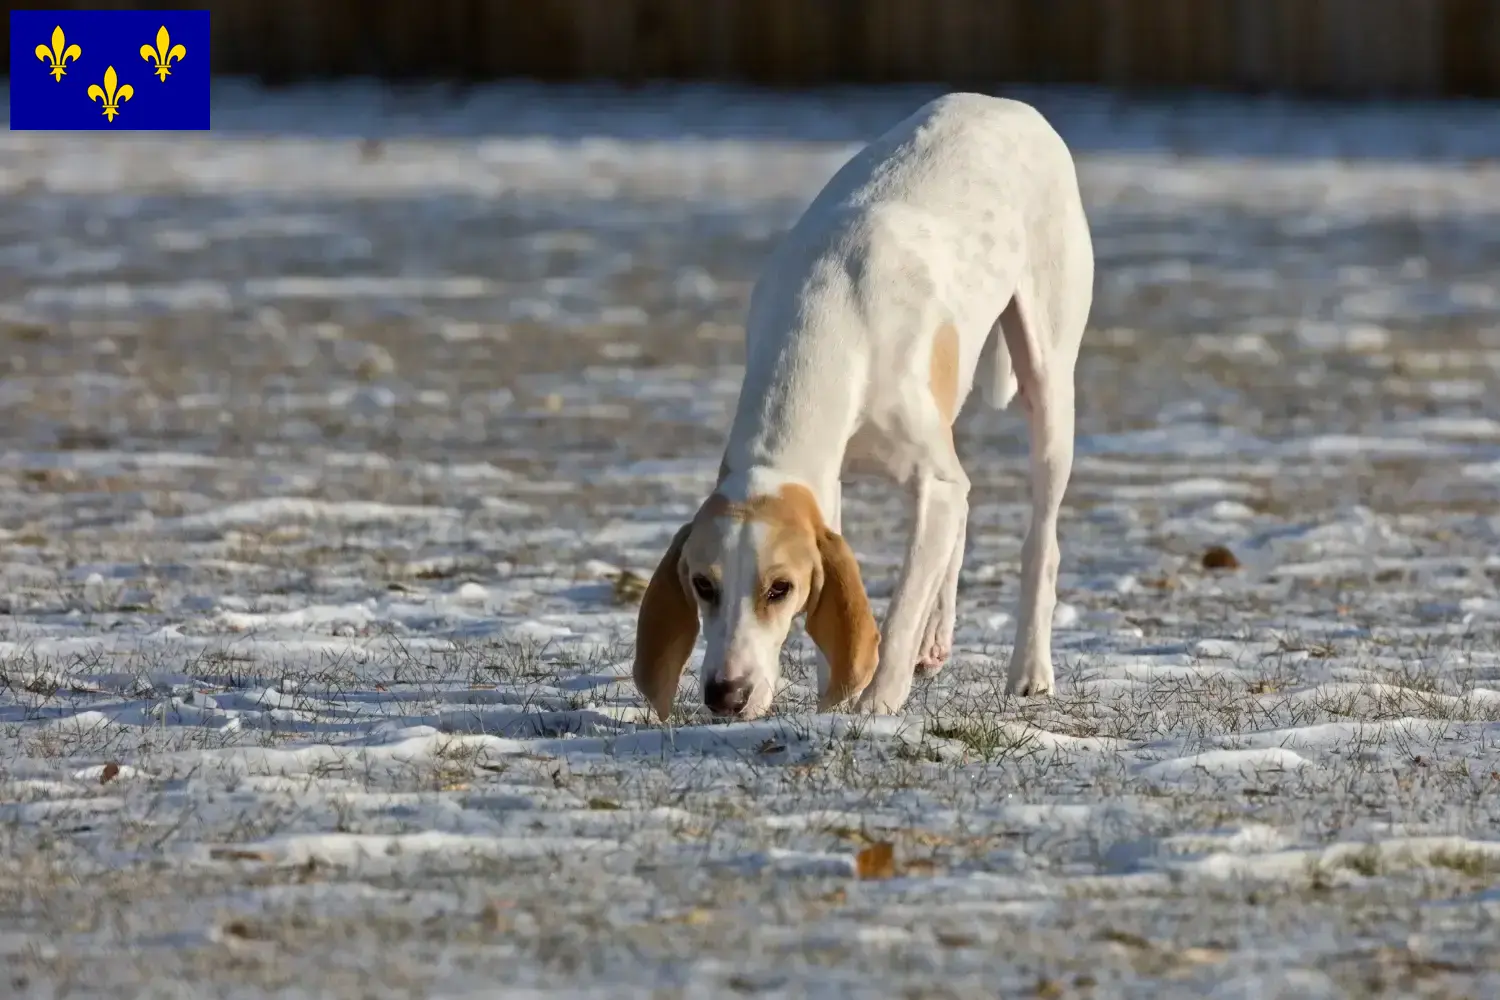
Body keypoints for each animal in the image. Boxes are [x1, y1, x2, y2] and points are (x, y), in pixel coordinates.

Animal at [630, 91, 1092, 719]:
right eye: (703, 585)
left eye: (780, 589)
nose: (727, 694)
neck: (827, 321)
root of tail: (1005, 102)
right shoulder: (830, 486)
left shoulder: (929, 478)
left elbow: (899, 610)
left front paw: (876, 704)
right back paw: (937, 639)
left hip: (1048, 387)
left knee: (1040, 541)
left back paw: (1030, 670)